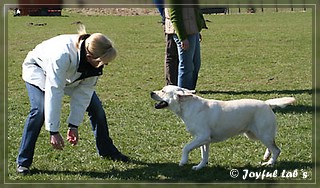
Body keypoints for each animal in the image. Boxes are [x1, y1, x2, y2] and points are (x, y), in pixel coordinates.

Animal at [150, 85, 296, 170]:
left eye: (163, 91)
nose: (151, 92)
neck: (187, 107)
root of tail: (266, 103)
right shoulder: (204, 140)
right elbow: (204, 155)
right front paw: (200, 166)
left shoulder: (202, 137)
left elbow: (186, 147)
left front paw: (183, 161)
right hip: (255, 134)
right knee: (271, 145)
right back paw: (266, 157)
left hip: (262, 133)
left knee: (276, 149)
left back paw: (269, 163)